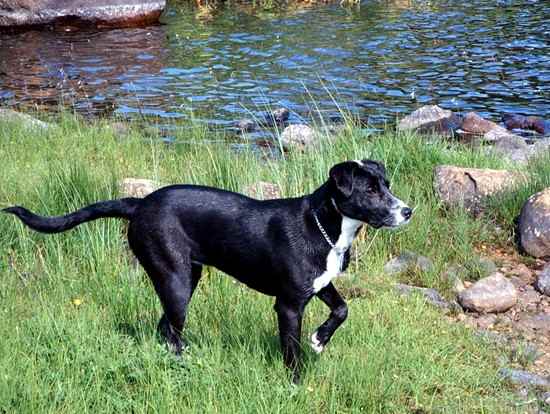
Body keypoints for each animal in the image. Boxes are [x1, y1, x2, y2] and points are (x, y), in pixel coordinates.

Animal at [3, 158, 410, 382]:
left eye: (387, 185)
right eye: (371, 191)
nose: (408, 211)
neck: (325, 226)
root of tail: (140, 205)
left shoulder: (320, 284)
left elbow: (342, 309)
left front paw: (320, 339)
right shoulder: (289, 304)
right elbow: (291, 351)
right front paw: (295, 383)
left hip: (186, 276)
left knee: (164, 328)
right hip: (176, 280)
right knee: (169, 328)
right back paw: (185, 365)